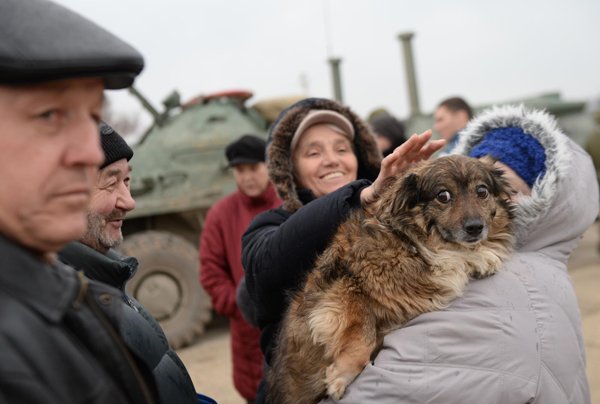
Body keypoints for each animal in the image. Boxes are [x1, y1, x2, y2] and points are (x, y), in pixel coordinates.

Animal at [268, 155, 516, 404]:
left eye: (482, 191)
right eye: (443, 196)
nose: (475, 228)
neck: (414, 244)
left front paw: (482, 256)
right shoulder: (347, 287)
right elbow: (363, 332)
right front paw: (342, 374)